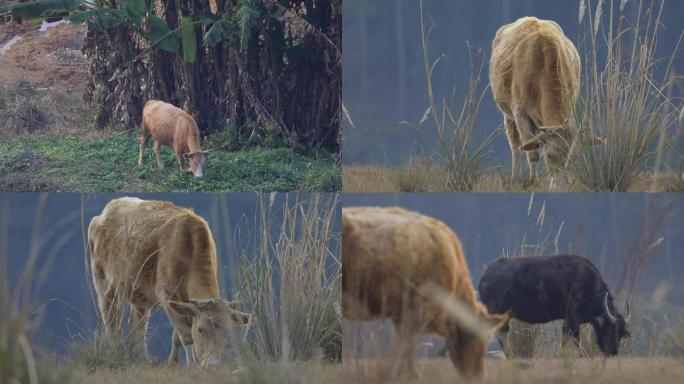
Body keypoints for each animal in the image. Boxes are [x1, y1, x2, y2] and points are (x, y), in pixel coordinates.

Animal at [476, 255, 632, 356]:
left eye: (621, 333)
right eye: (611, 329)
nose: (613, 352)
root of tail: (485, 276)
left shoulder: (568, 321)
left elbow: (565, 340)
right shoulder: (572, 320)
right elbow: (576, 341)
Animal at [488, 17, 600, 185]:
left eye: (573, 159)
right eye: (550, 156)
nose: (562, 186)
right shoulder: (520, 113)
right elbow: (532, 153)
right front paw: (533, 182)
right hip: (508, 115)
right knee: (516, 146)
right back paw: (516, 178)